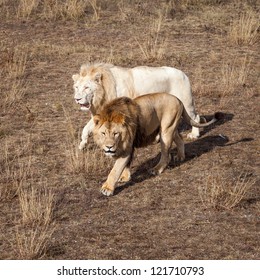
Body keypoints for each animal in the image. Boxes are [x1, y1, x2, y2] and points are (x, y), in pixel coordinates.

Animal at [72, 62, 202, 150]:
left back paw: (194, 135)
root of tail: (183, 73)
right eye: (77, 87)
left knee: (195, 117)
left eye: (87, 87)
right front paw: (82, 145)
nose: (77, 99)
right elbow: (86, 129)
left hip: (186, 101)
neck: (102, 93)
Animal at [92, 93, 220, 196]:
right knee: (180, 139)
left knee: (166, 155)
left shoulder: (126, 148)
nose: (109, 147)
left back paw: (156, 169)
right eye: (103, 133)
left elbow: (115, 170)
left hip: (166, 131)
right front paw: (125, 177)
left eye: (115, 133)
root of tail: (178, 99)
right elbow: (125, 165)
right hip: (171, 129)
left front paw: (107, 188)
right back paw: (180, 157)